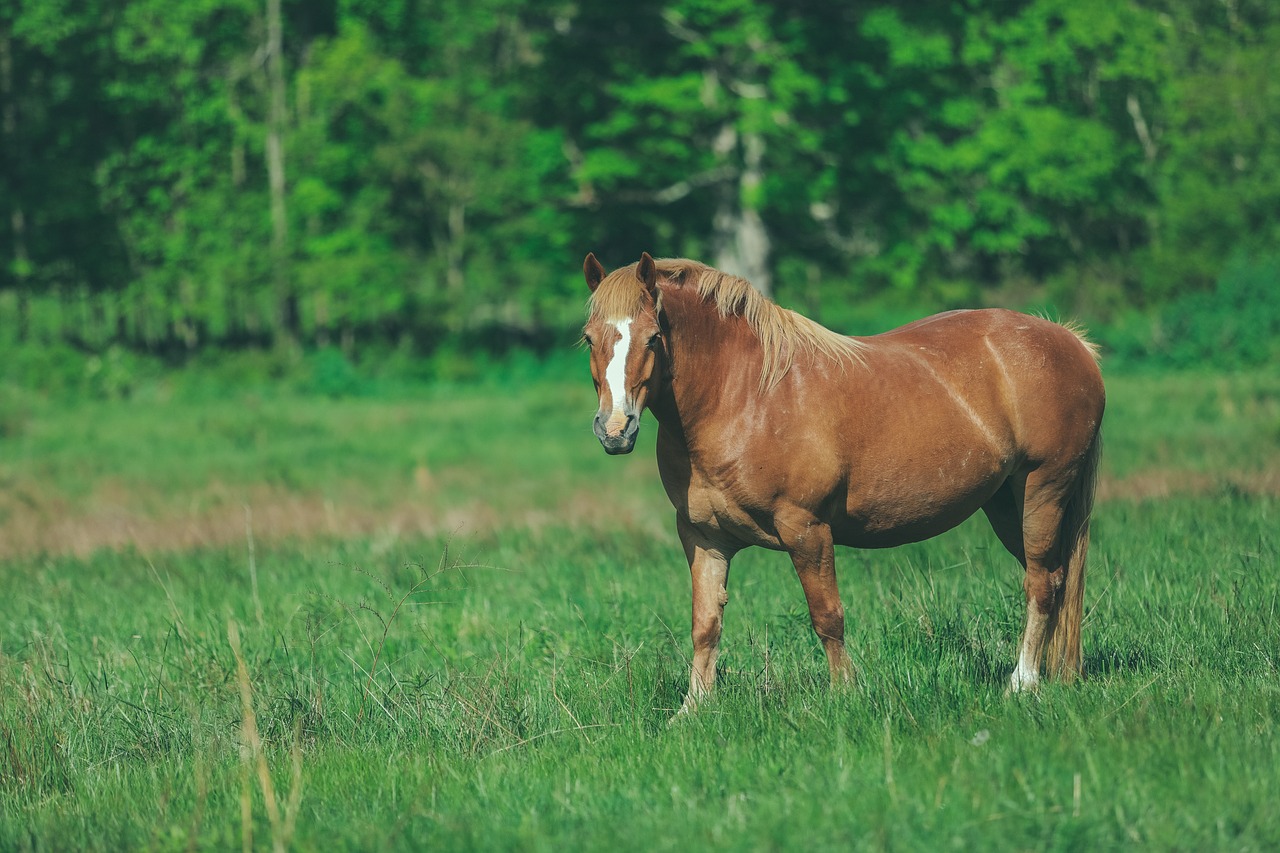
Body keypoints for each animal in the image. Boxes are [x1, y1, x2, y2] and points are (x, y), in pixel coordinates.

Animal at [581, 252, 1100, 712]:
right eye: (589, 339)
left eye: (653, 337)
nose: (615, 430)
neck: (744, 396)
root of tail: (1073, 343)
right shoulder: (704, 537)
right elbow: (705, 624)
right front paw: (693, 709)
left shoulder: (806, 530)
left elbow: (827, 616)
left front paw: (845, 695)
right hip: (1006, 505)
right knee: (1053, 579)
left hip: (1043, 490)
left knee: (1041, 584)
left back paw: (1022, 683)